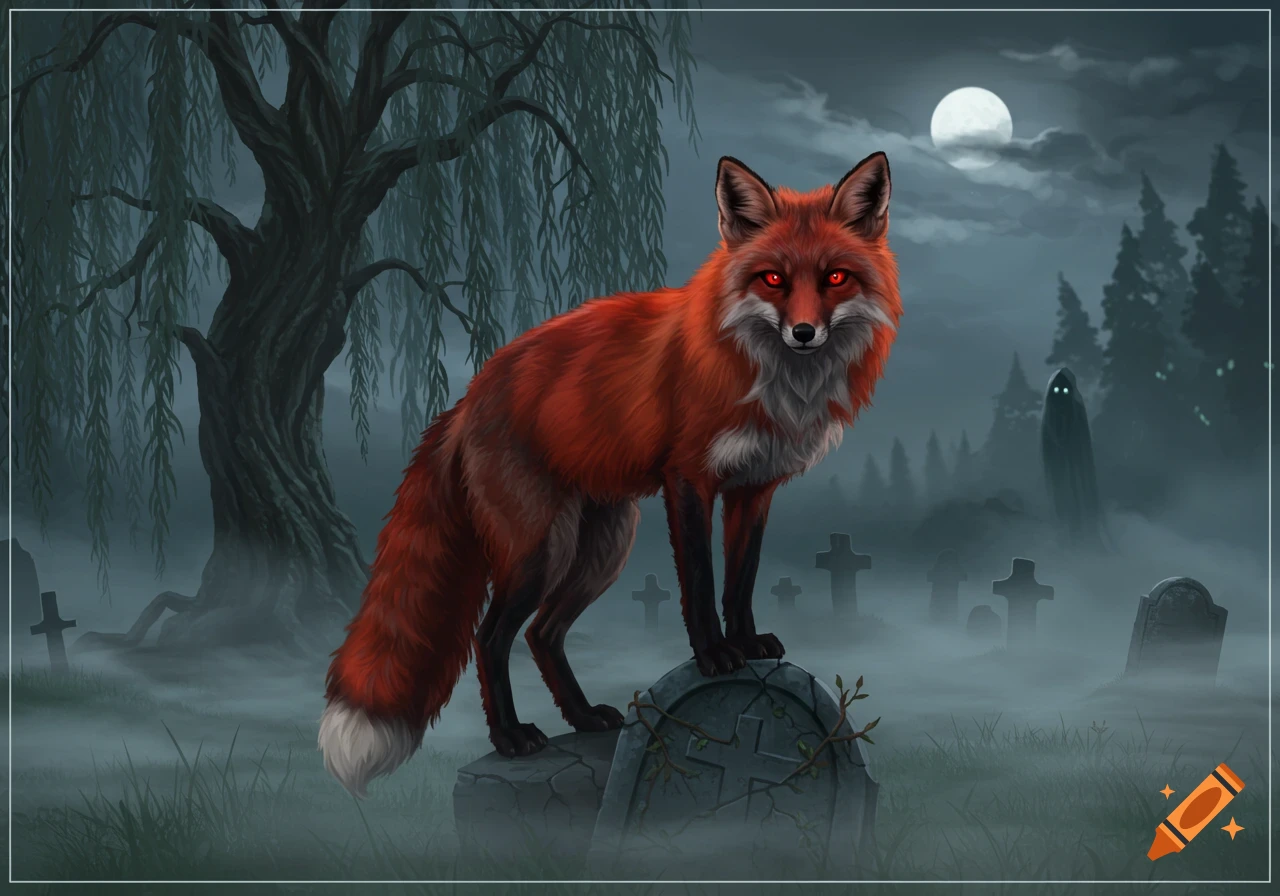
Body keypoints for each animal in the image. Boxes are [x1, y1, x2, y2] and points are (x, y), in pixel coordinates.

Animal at [320, 152, 901, 797]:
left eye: (835, 278)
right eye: (772, 279)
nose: (803, 333)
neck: (771, 379)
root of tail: (470, 394)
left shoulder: (753, 489)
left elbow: (740, 581)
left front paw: (748, 646)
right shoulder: (689, 480)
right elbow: (701, 584)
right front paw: (715, 657)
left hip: (602, 547)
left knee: (542, 634)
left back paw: (581, 716)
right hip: (540, 550)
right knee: (490, 637)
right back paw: (512, 736)